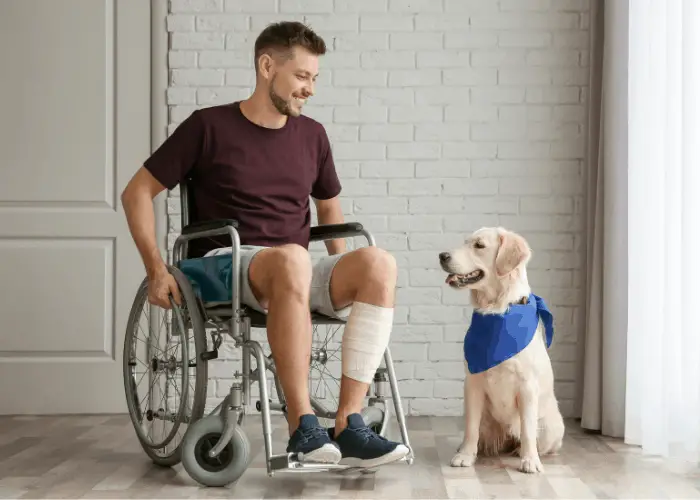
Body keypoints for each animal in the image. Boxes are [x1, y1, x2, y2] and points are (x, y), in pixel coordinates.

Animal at [440, 227, 568, 472]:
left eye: (479, 245)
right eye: (465, 242)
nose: (442, 256)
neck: (497, 310)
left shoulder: (527, 385)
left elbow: (527, 429)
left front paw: (530, 461)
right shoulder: (473, 382)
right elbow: (471, 426)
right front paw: (466, 455)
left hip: (551, 425)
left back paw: (523, 452)